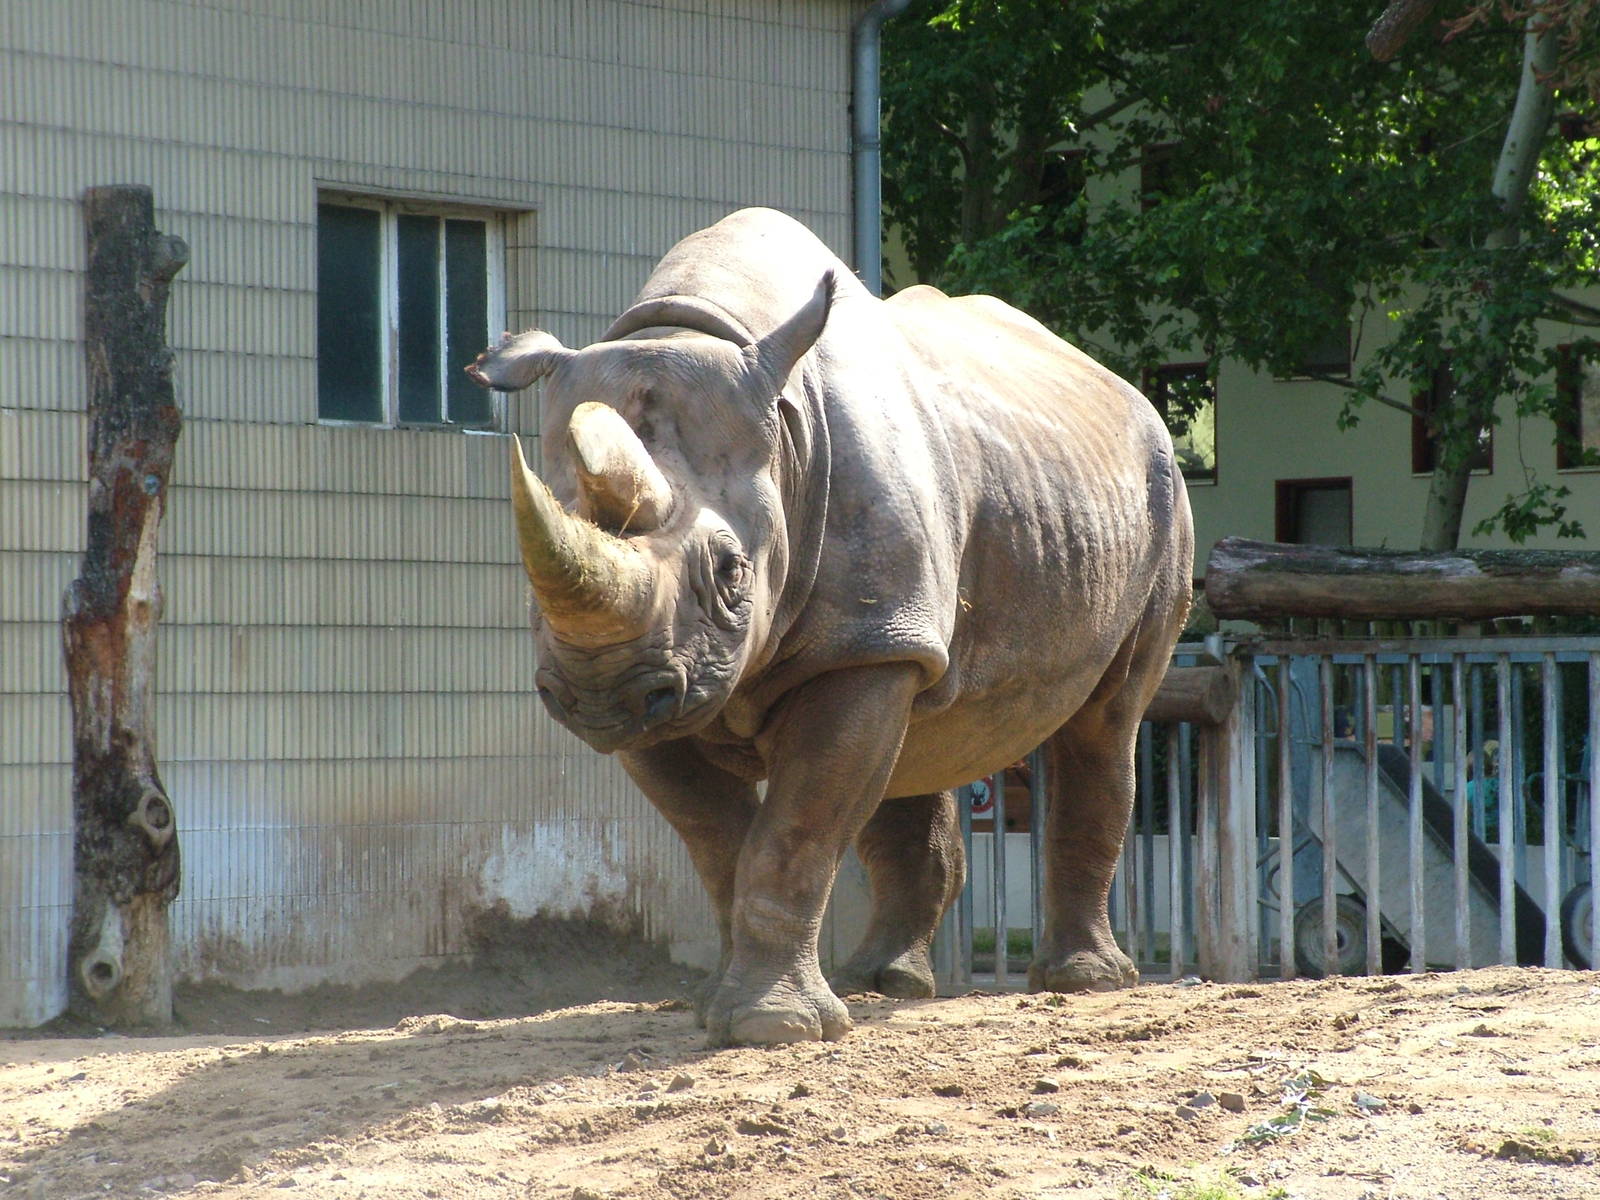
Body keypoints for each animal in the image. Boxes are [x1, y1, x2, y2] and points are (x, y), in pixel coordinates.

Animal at [467, 208, 1192, 1047]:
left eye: (731, 572)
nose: (599, 697)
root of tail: (1117, 386)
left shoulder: (853, 647)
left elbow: (795, 832)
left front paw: (770, 1027)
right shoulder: (686, 683)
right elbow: (722, 840)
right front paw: (718, 1006)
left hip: (1160, 488)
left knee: (1106, 720)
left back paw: (1083, 982)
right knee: (918, 739)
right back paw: (882, 984)